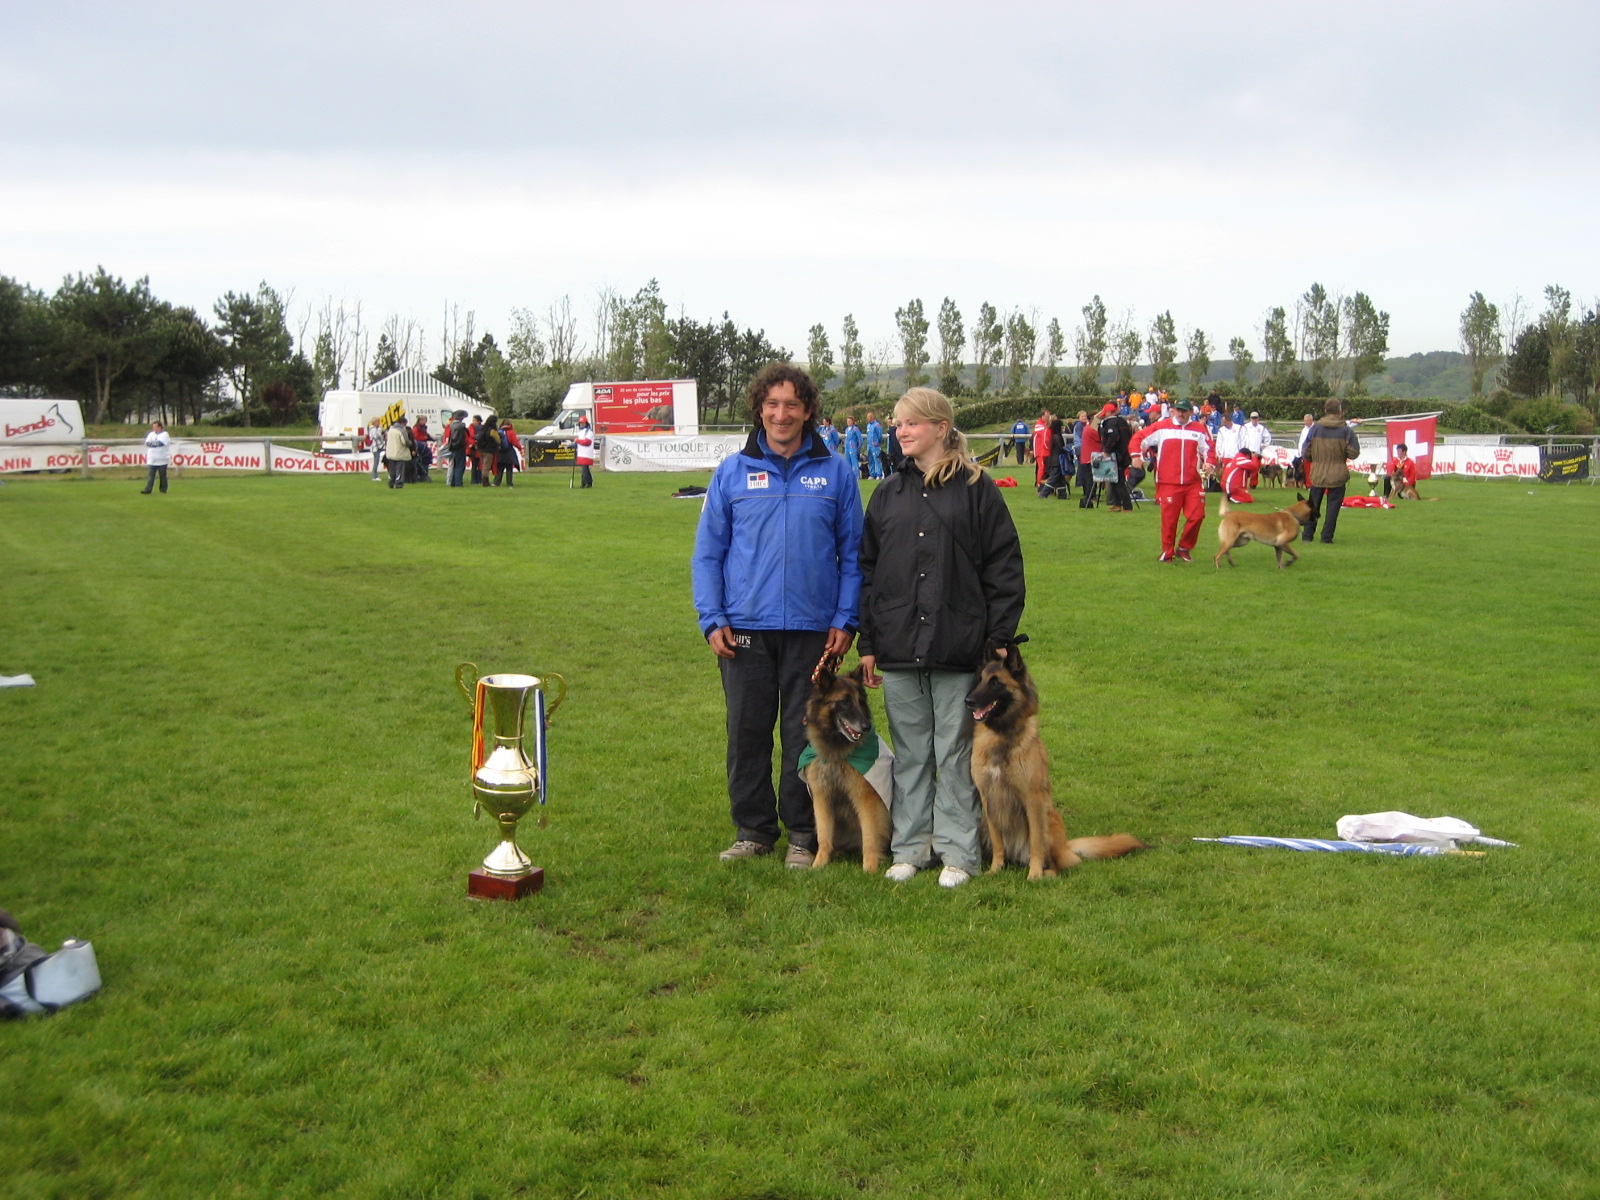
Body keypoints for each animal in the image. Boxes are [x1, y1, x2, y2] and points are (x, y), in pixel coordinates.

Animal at [800, 659, 892, 872]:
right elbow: (824, 836)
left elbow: (870, 837)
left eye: (860, 700)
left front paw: (870, 869)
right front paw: (818, 865)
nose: (866, 726)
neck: (838, 755)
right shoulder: (822, 797)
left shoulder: (866, 798)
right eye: (844, 701)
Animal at [965, 639, 1146, 880]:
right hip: (985, 823)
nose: (968, 701)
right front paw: (995, 869)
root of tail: (1067, 845)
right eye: (980, 680)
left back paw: (1048, 872)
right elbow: (998, 842)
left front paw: (1034, 875)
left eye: (996, 683)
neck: (1002, 735)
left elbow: (1035, 842)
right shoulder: (989, 799)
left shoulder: (1033, 799)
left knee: (1065, 861)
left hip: (1049, 820)